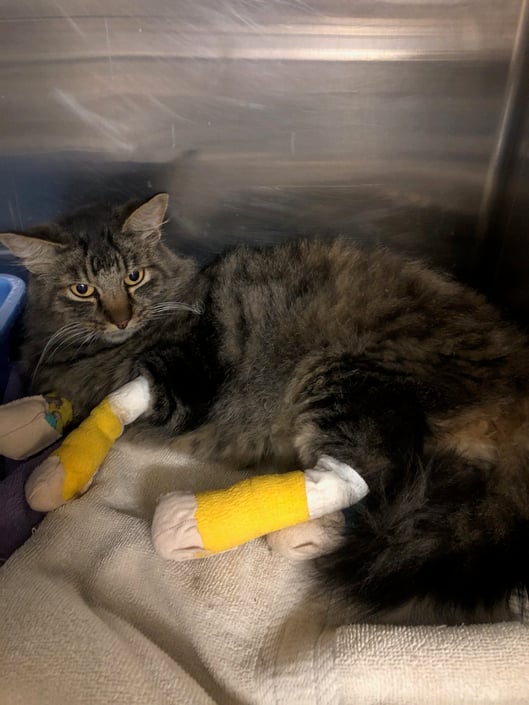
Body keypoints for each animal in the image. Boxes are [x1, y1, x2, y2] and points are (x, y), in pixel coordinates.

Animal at [1, 191, 528, 620]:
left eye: (134, 277)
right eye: (83, 289)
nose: (120, 318)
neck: (101, 350)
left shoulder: (184, 378)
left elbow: (119, 397)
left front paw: (57, 466)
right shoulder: (65, 377)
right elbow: (67, 406)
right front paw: (37, 440)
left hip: (342, 377)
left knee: (359, 479)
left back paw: (195, 521)